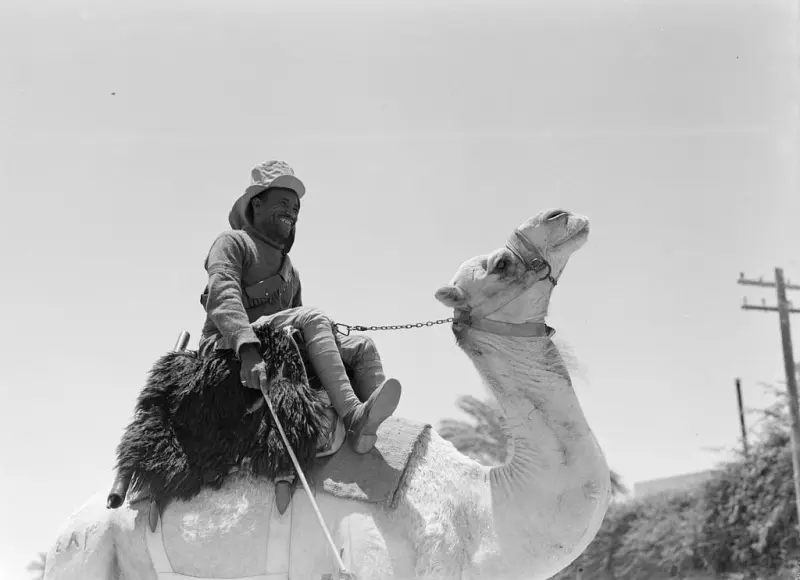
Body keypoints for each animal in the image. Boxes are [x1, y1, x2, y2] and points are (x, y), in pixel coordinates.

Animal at [42, 207, 610, 580]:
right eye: (500, 265)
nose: (565, 217)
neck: (481, 508)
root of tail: (68, 526)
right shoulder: (372, 556)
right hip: (84, 553)